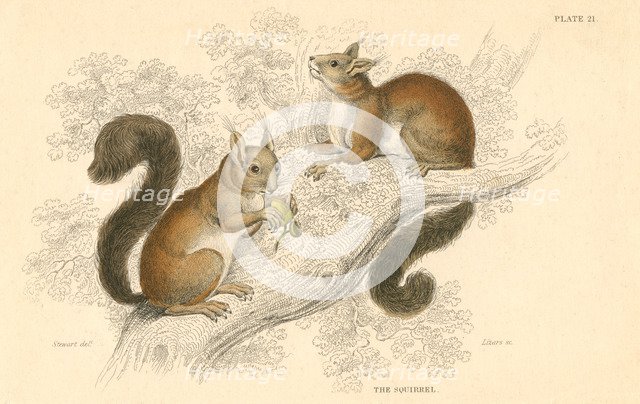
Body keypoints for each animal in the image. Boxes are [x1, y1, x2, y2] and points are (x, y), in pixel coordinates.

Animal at [88, 114, 284, 320]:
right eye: (254, 169)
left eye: (277, 165)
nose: (273, 187)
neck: (249, 195)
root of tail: (150, 295)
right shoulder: (218, 203)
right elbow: (232, 223)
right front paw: (267, 211)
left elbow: (248, 230)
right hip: (209, 261)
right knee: (174, 308)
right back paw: (205, 307)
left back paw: (229, 287)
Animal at [307, 42, 476, 318]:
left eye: (333, 62)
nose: (311, 58)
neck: (344, 104)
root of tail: (471, 156)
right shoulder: (335, 141)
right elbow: (322, 145)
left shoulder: (363, 145)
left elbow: (347, 158)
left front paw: (321, 167)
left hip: (413, 131)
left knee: (452, 163)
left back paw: (425, 165)